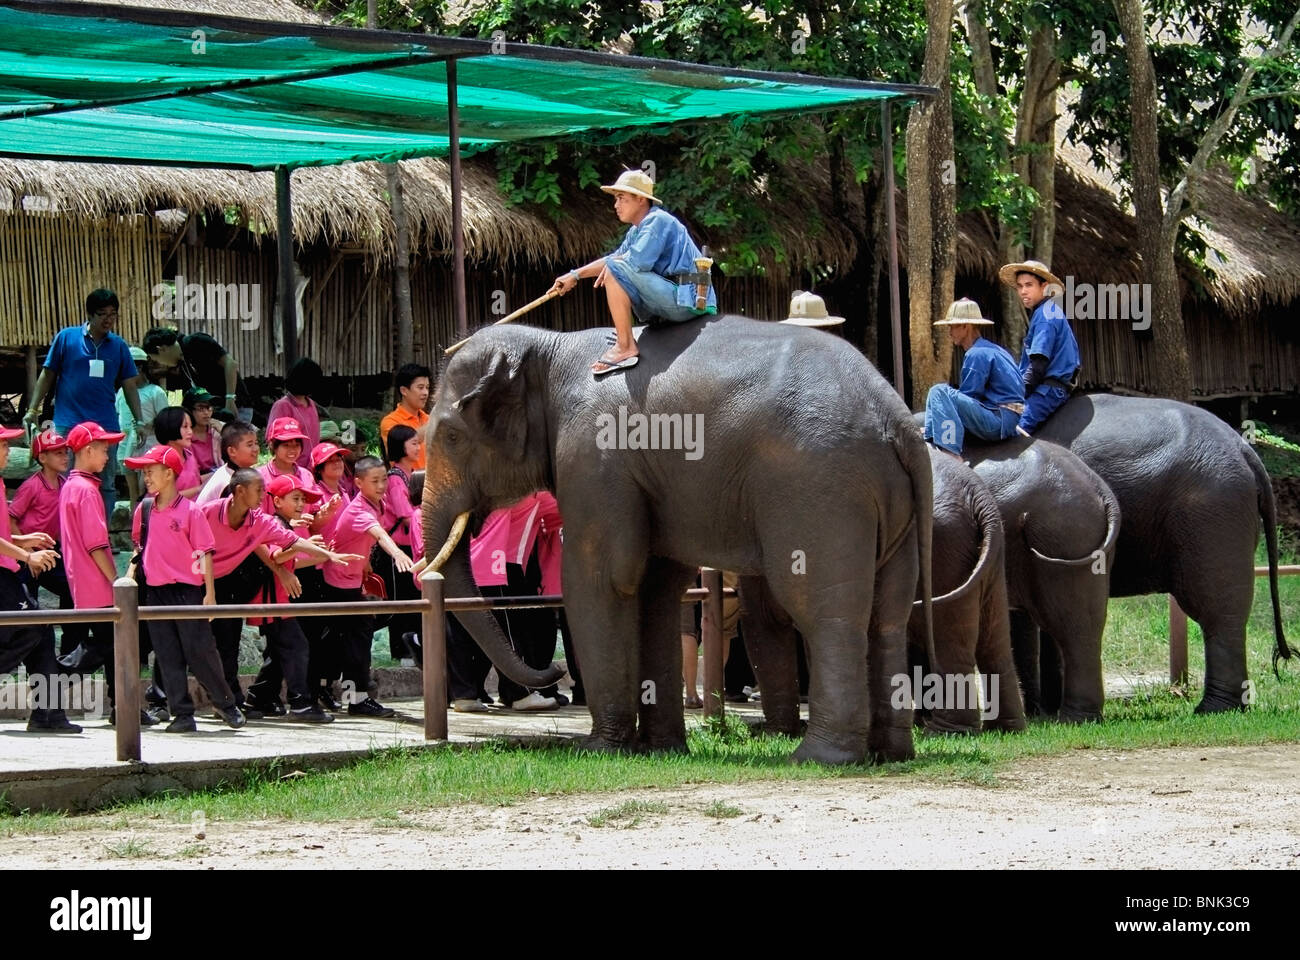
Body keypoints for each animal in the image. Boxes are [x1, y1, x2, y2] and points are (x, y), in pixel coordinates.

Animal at [421, 316, 930, 764]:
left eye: (451, 436)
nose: (555, 672)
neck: (550, 348)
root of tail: (899, 421)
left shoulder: (596, 457)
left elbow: (603, 579)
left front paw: (600, 751)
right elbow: (657, 589)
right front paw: (660, 750)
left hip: (821, 491)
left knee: (822, 609)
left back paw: (819, 757)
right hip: (887, 506)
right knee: (888, 616)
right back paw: (890, 754)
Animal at [904, 447, 1024, 733]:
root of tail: (980, 498)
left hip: (945, 548)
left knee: (948, 643)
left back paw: (942, 731)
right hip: (988, 559)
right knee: (995, 642)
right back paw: (1006, 728)